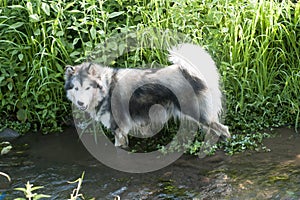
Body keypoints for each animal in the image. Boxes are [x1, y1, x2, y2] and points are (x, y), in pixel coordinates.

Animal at [65, 43, 230, 148]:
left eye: (87, 88)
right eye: (76, 88)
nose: (80, 103)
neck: (106, 87)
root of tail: (190, 72)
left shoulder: (119, 129)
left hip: (198, 114)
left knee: (224, 129)